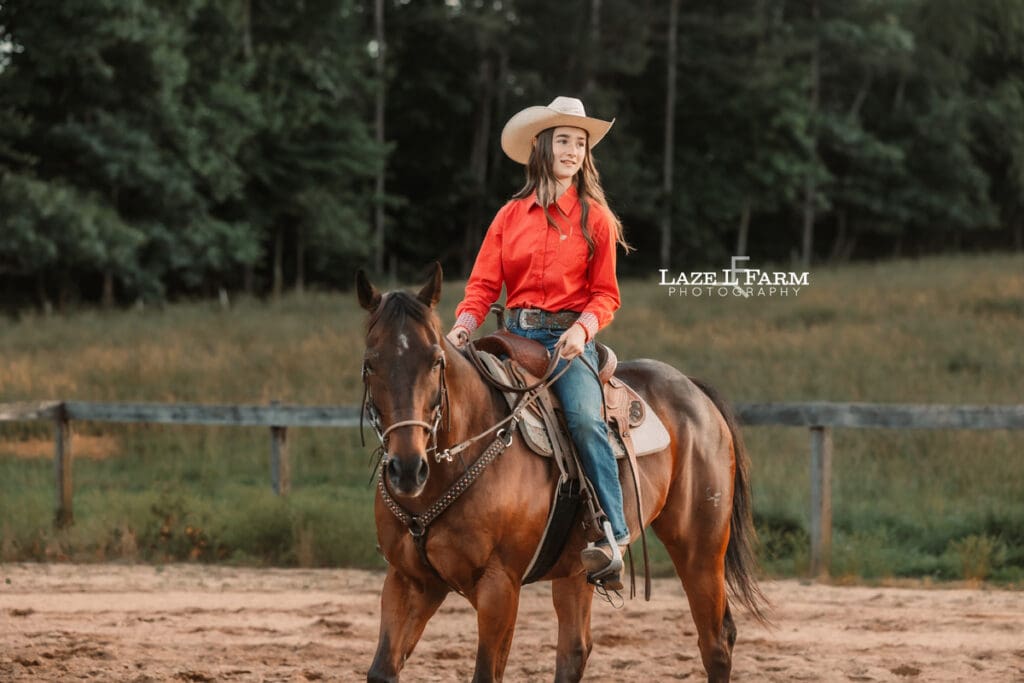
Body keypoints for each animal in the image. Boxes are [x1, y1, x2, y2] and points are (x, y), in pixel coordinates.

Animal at [357, 264, 767, 683]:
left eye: (436, 360)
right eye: (370, 364)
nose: (408, 468)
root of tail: (694, 391)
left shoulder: (499, 587)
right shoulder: (410, 582)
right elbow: (382, 670)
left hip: (700, 547)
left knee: (716, 642)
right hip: (576, 568)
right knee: (575, 650)